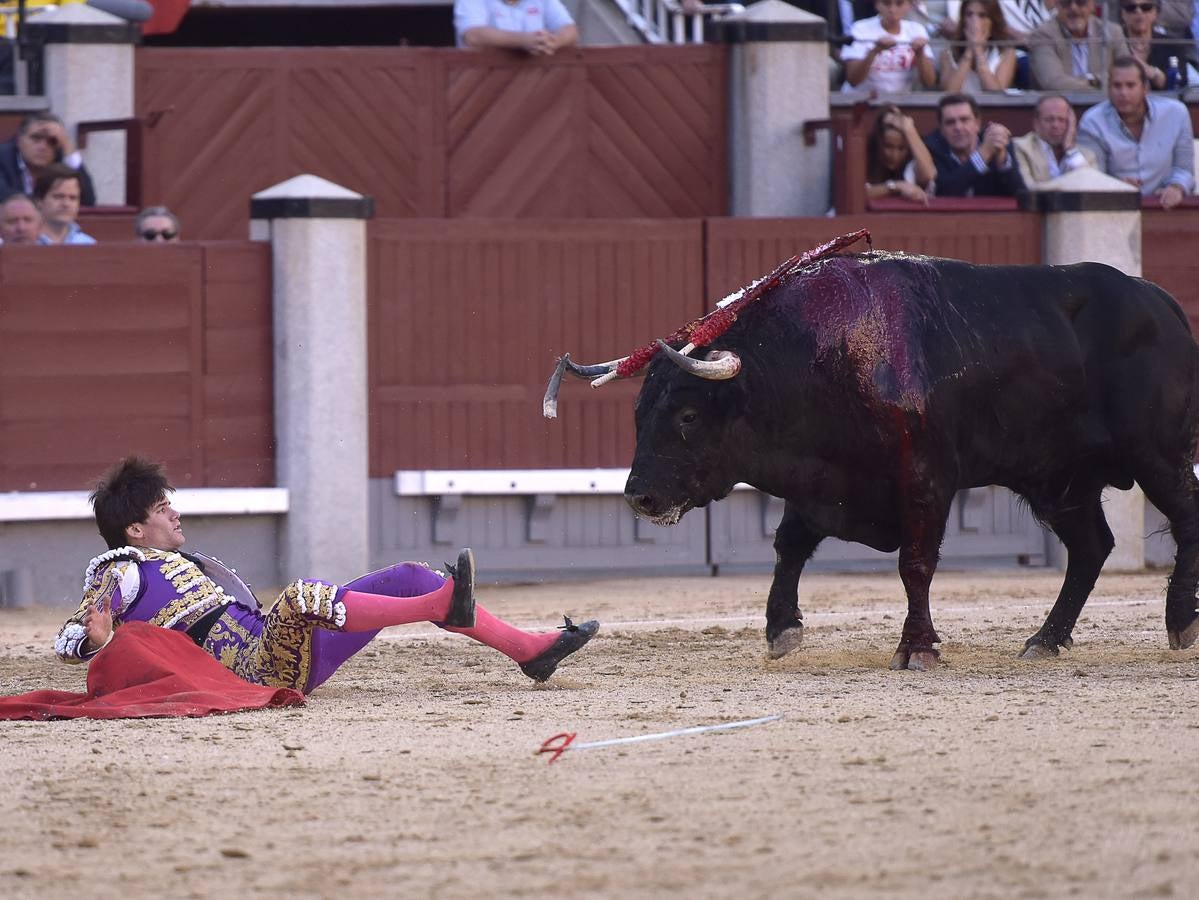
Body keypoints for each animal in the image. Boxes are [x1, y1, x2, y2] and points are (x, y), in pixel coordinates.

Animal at [609, 251, 1199, 671]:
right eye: (639, 414)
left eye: (687, 415)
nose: (640, 496)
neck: (821, 361)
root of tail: (1159, 301)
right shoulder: (820, 485)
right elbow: (789, 545)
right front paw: (781, 631)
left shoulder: (926, 479)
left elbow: (915, 565)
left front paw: (917, 648)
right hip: (1060, 479)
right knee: (1091, 547)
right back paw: (1045, 640)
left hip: (1157, 455)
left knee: (1183, 517)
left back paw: (1180, 622)